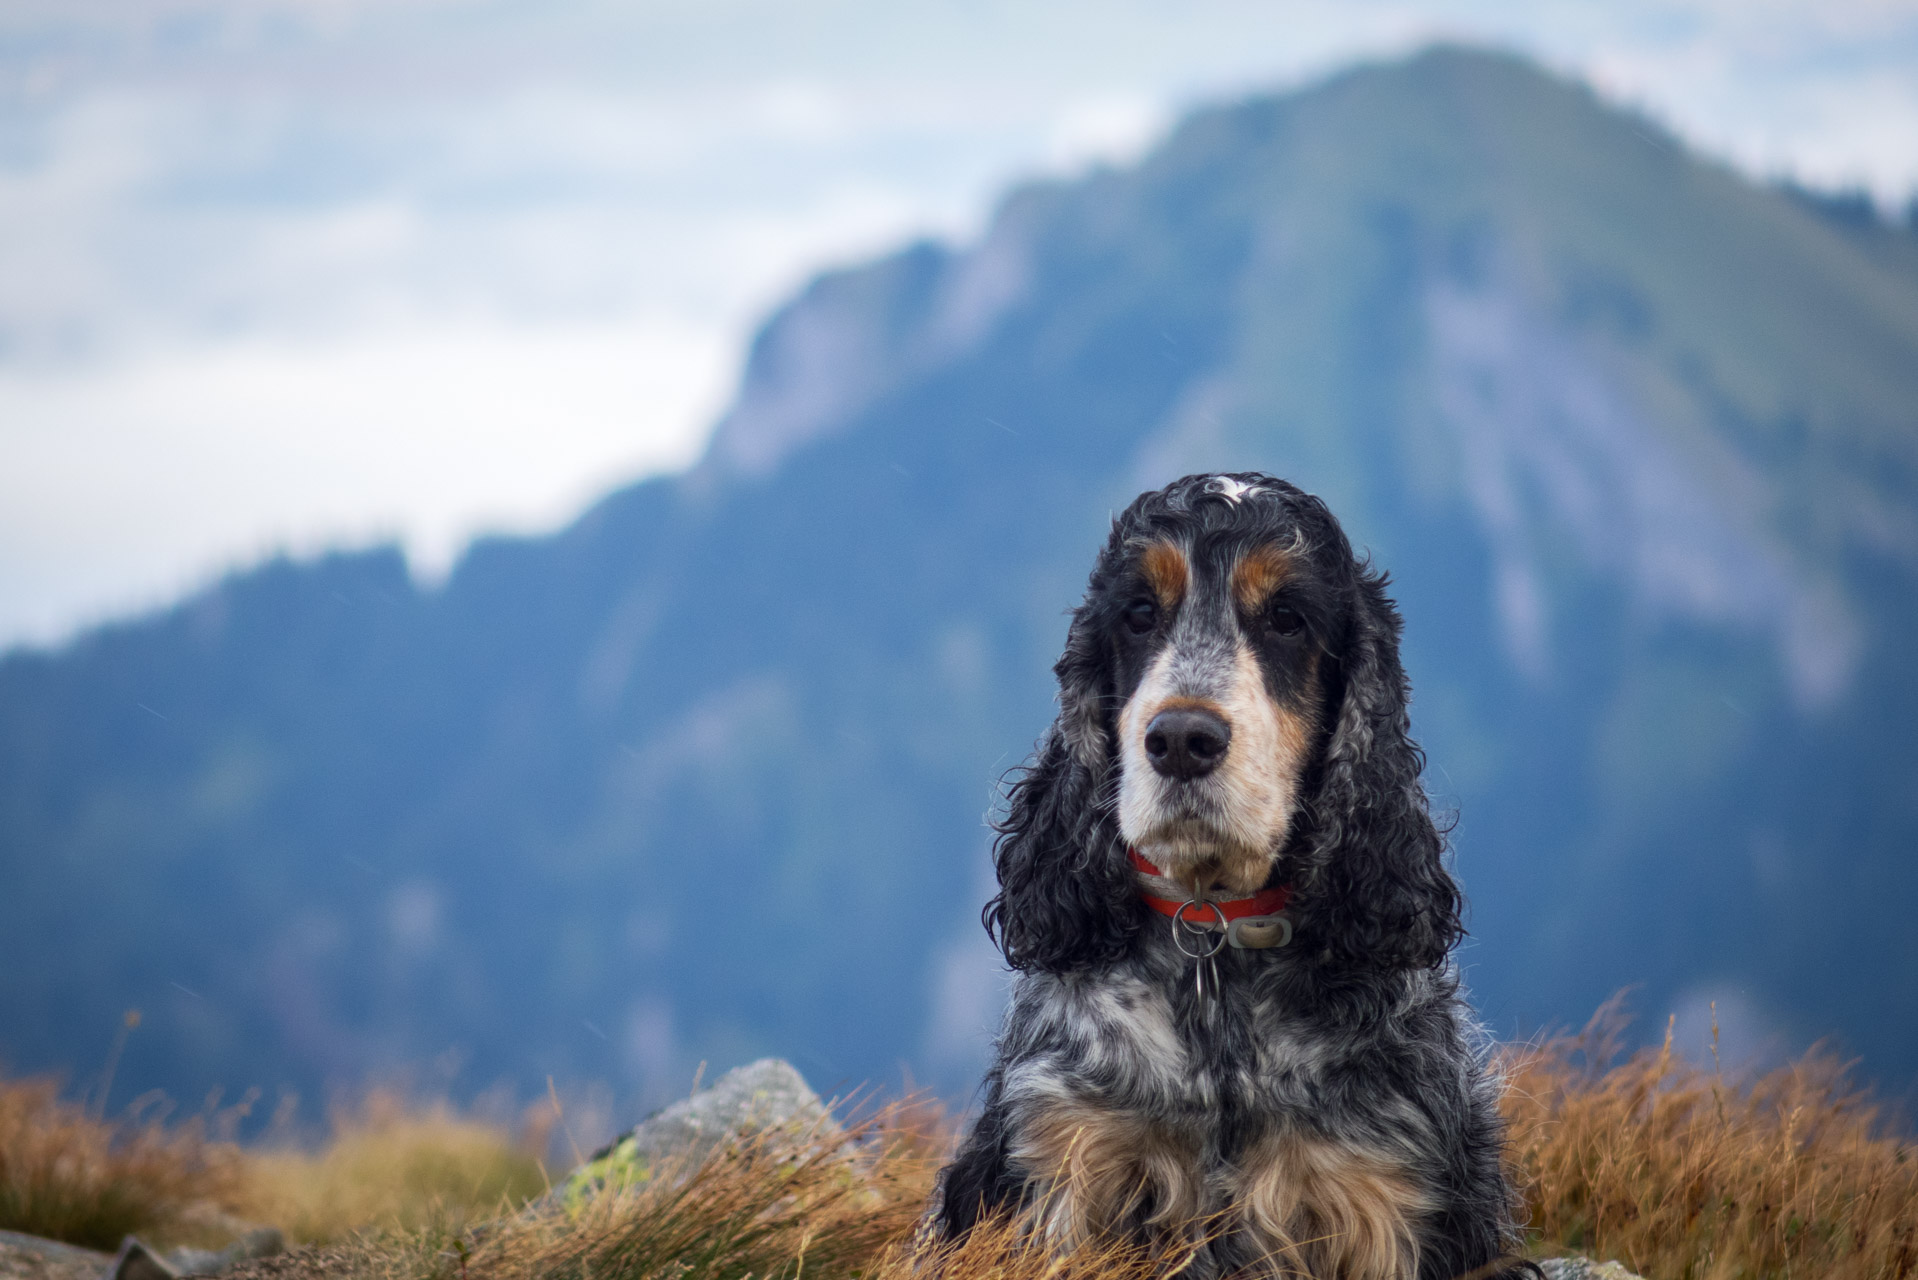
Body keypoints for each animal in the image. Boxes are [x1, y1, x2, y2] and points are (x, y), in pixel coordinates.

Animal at [928, 474, 1526, 1280]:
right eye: (1139, 614)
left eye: (1286, 619)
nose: (1182, 739)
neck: (1216, 934)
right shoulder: (1063, 1163)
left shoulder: (1385, 1196)